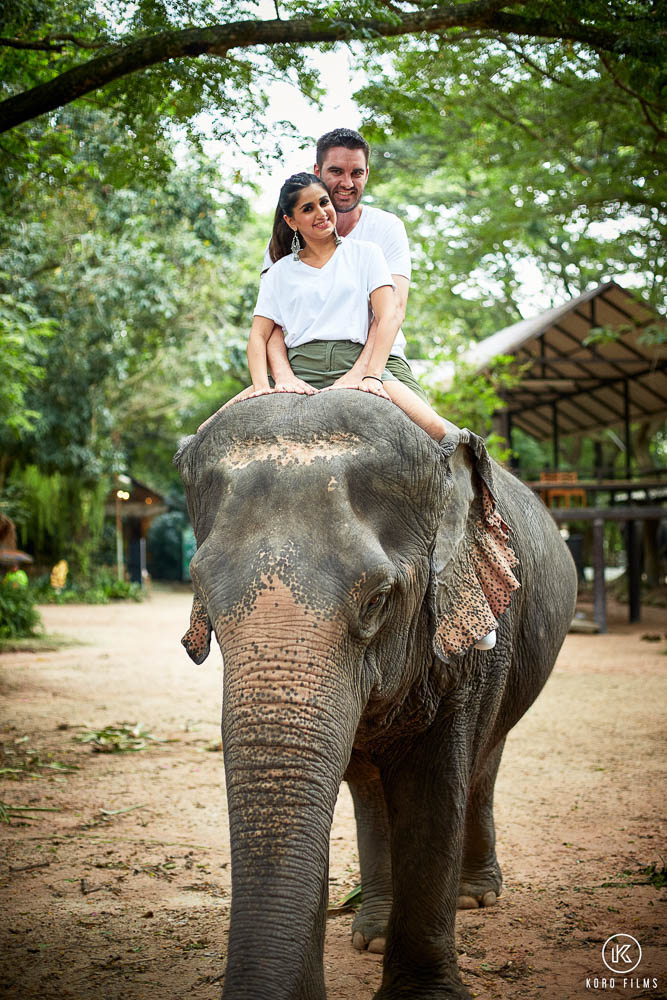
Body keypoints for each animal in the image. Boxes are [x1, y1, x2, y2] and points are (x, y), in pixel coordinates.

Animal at [175, 390, 576, 1000]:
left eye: (377, 601)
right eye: (201, 593)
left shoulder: (471, 650)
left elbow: (436, 792)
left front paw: (425, 995)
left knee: (484, 762)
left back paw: (478, 896)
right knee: (368, 787)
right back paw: (373, 933)